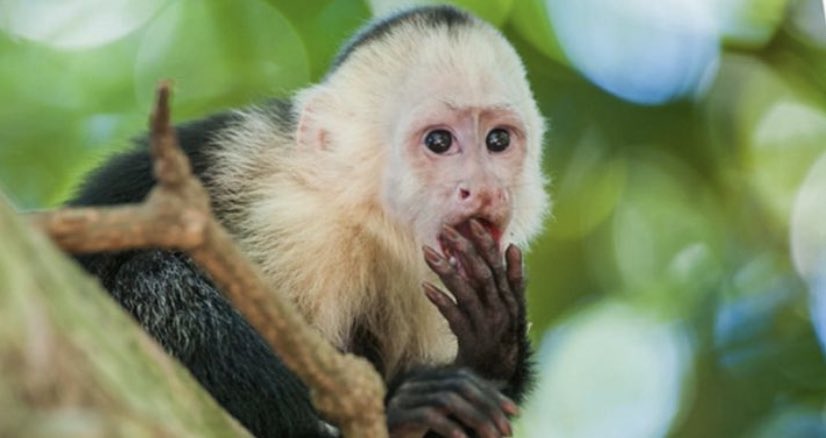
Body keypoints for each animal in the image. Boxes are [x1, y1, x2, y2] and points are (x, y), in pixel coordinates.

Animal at [69, 5, 549, 438]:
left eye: (498, 140)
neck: (364, 222)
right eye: (438, 141)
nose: (484, 189)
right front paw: (400, 407)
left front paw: (491, 344)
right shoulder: (294, 227)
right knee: (152, 278)